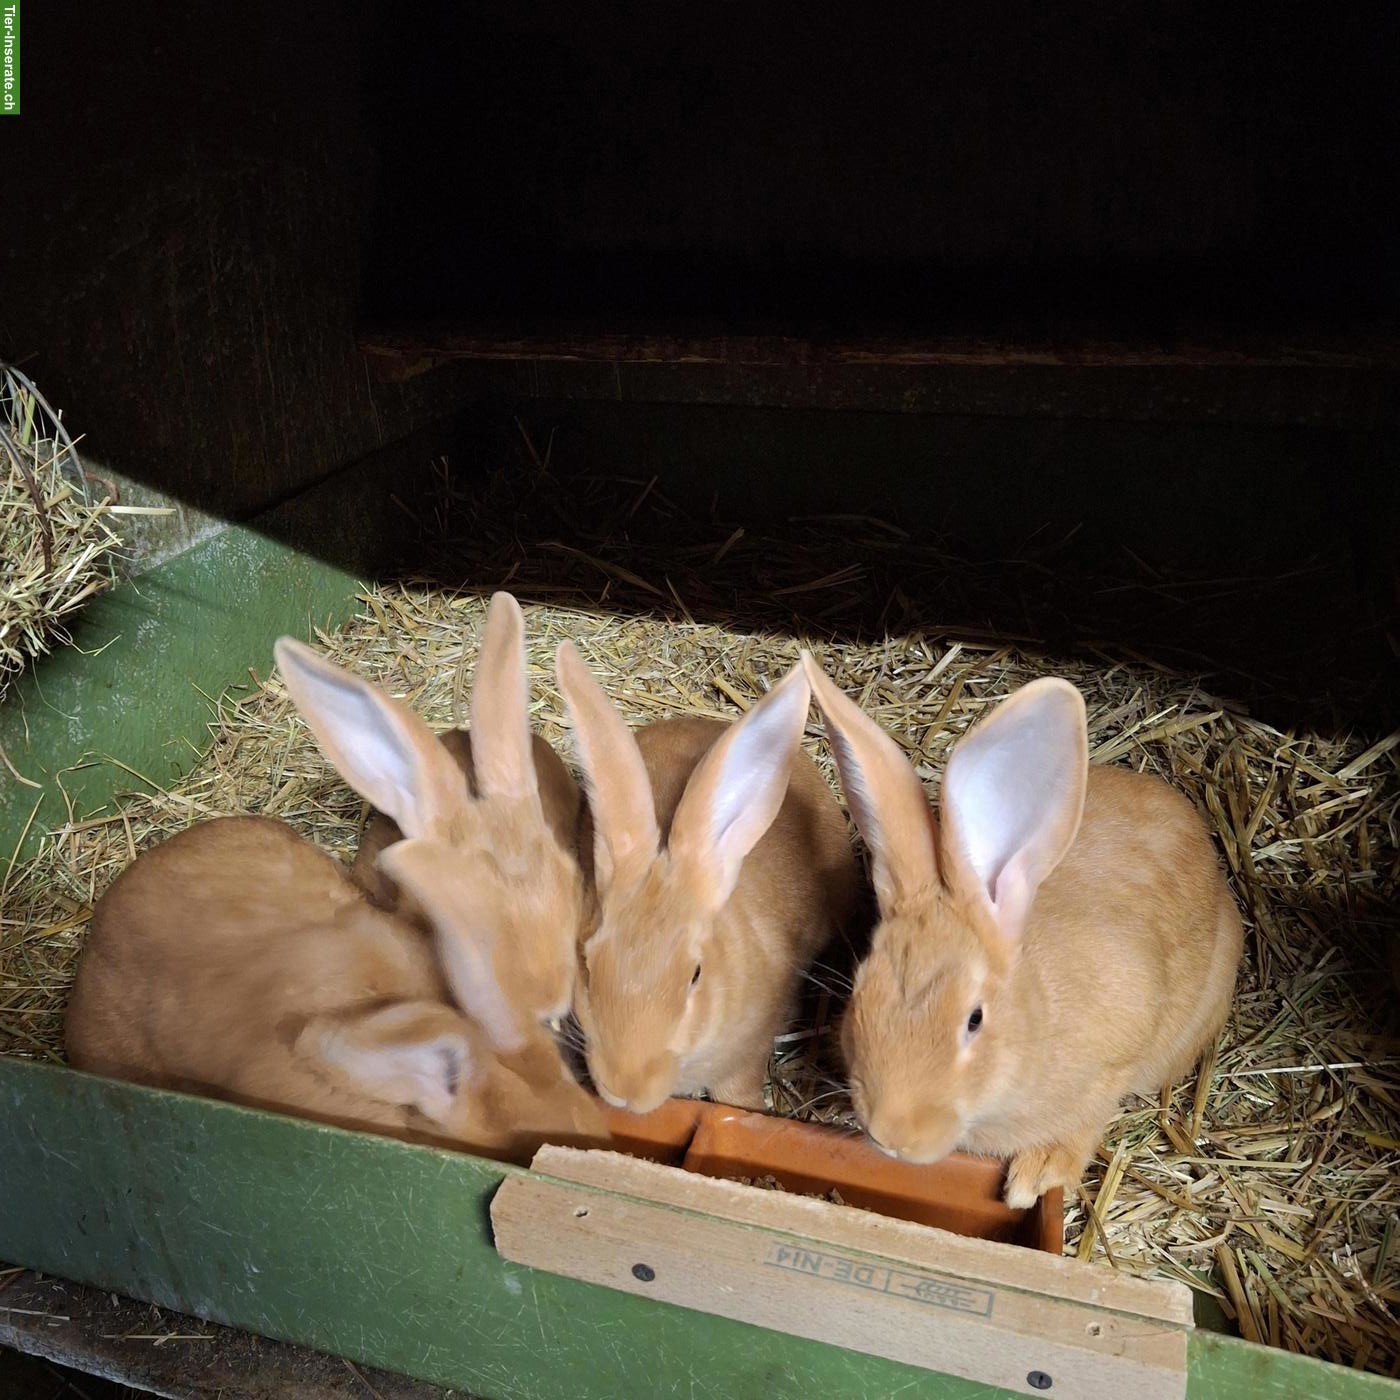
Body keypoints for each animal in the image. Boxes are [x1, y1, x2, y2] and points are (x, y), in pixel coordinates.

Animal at [803, 656, 1244, 1208]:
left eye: (974, 1020)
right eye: (859, 992)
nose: (893, 1137)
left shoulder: (1113, 1066)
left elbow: (1086, 1122)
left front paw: (1036, 1177)